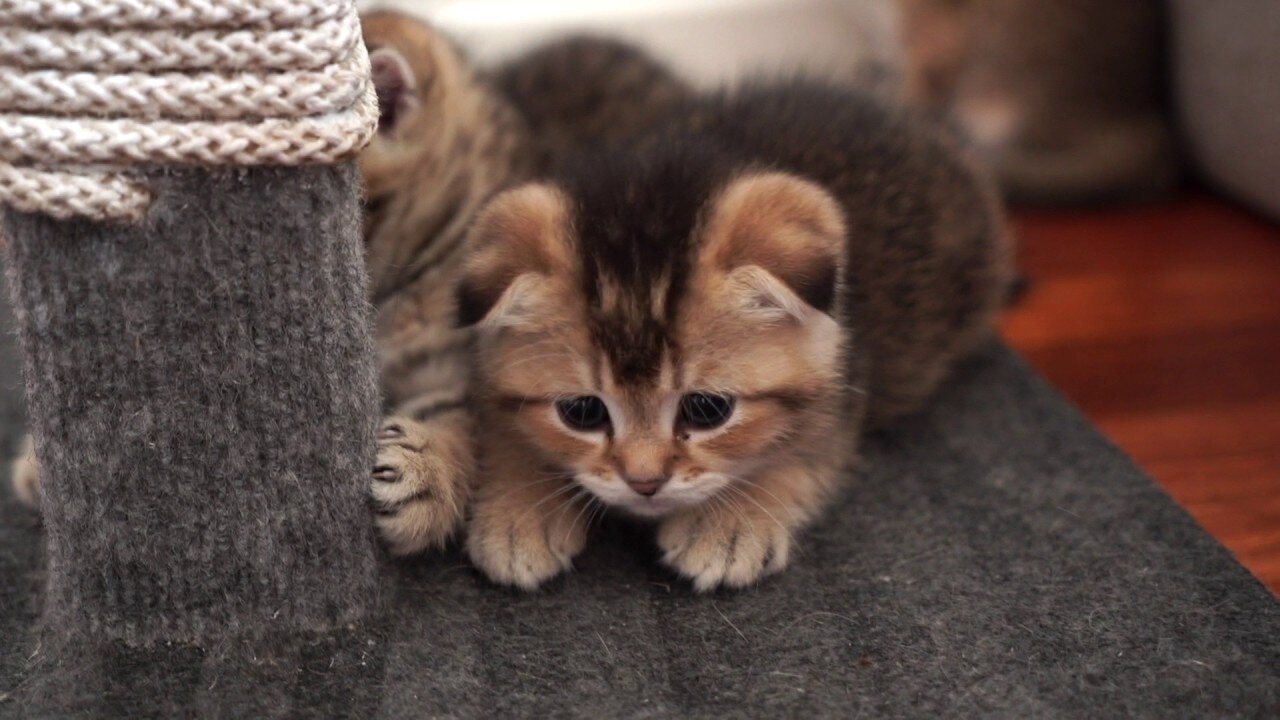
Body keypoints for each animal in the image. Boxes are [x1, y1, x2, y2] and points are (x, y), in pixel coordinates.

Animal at [458, 79, 1008, 589]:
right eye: (582, 412)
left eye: (707, 410)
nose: (645, 483)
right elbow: (504, 425)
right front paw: (519, 505)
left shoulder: (844, 391)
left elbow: (803, 453)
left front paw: (729, 522)